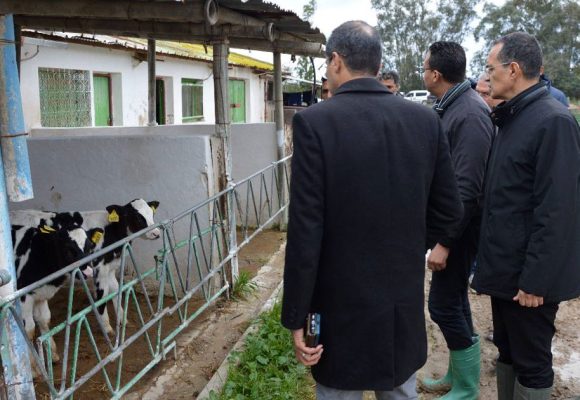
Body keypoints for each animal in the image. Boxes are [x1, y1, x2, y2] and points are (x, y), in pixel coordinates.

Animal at [11, 223, 102, 364]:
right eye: (68, 248)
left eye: (89, 247)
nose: (88, 272)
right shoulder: (23, 297)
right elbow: (29, 328)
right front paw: (33, 365)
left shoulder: (41, 294)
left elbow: (44, 320)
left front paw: (52, 354)